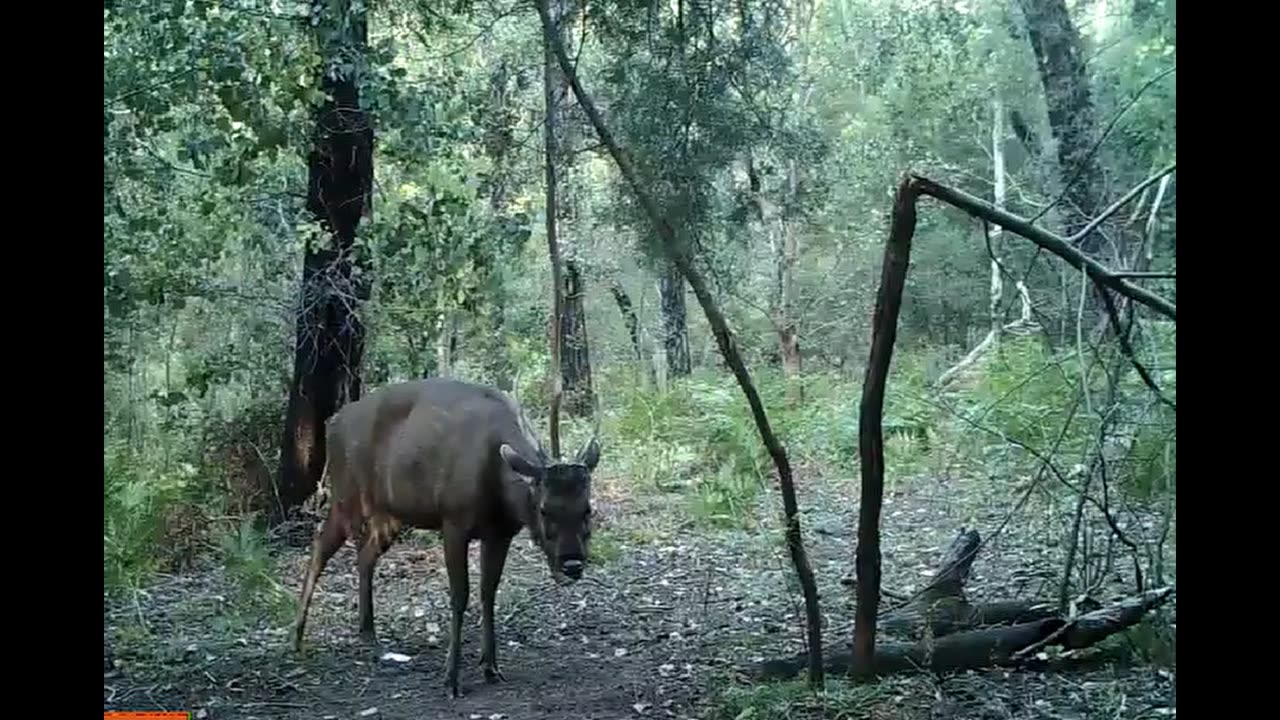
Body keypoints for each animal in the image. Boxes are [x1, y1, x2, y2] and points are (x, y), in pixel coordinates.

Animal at [293, 376, 601, 696]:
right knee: (320, 546)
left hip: (390, 515)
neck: (500, 490)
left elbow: (488, 592)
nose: (572, 564)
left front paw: (491, 666)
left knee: (365, 556)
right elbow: (459, 596)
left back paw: (368, 636)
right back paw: (298, 636)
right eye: (544, 509)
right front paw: (451, 678)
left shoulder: (500, 533)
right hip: (347, 494)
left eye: (587, 509)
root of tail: (331, 423)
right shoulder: (454, 521)